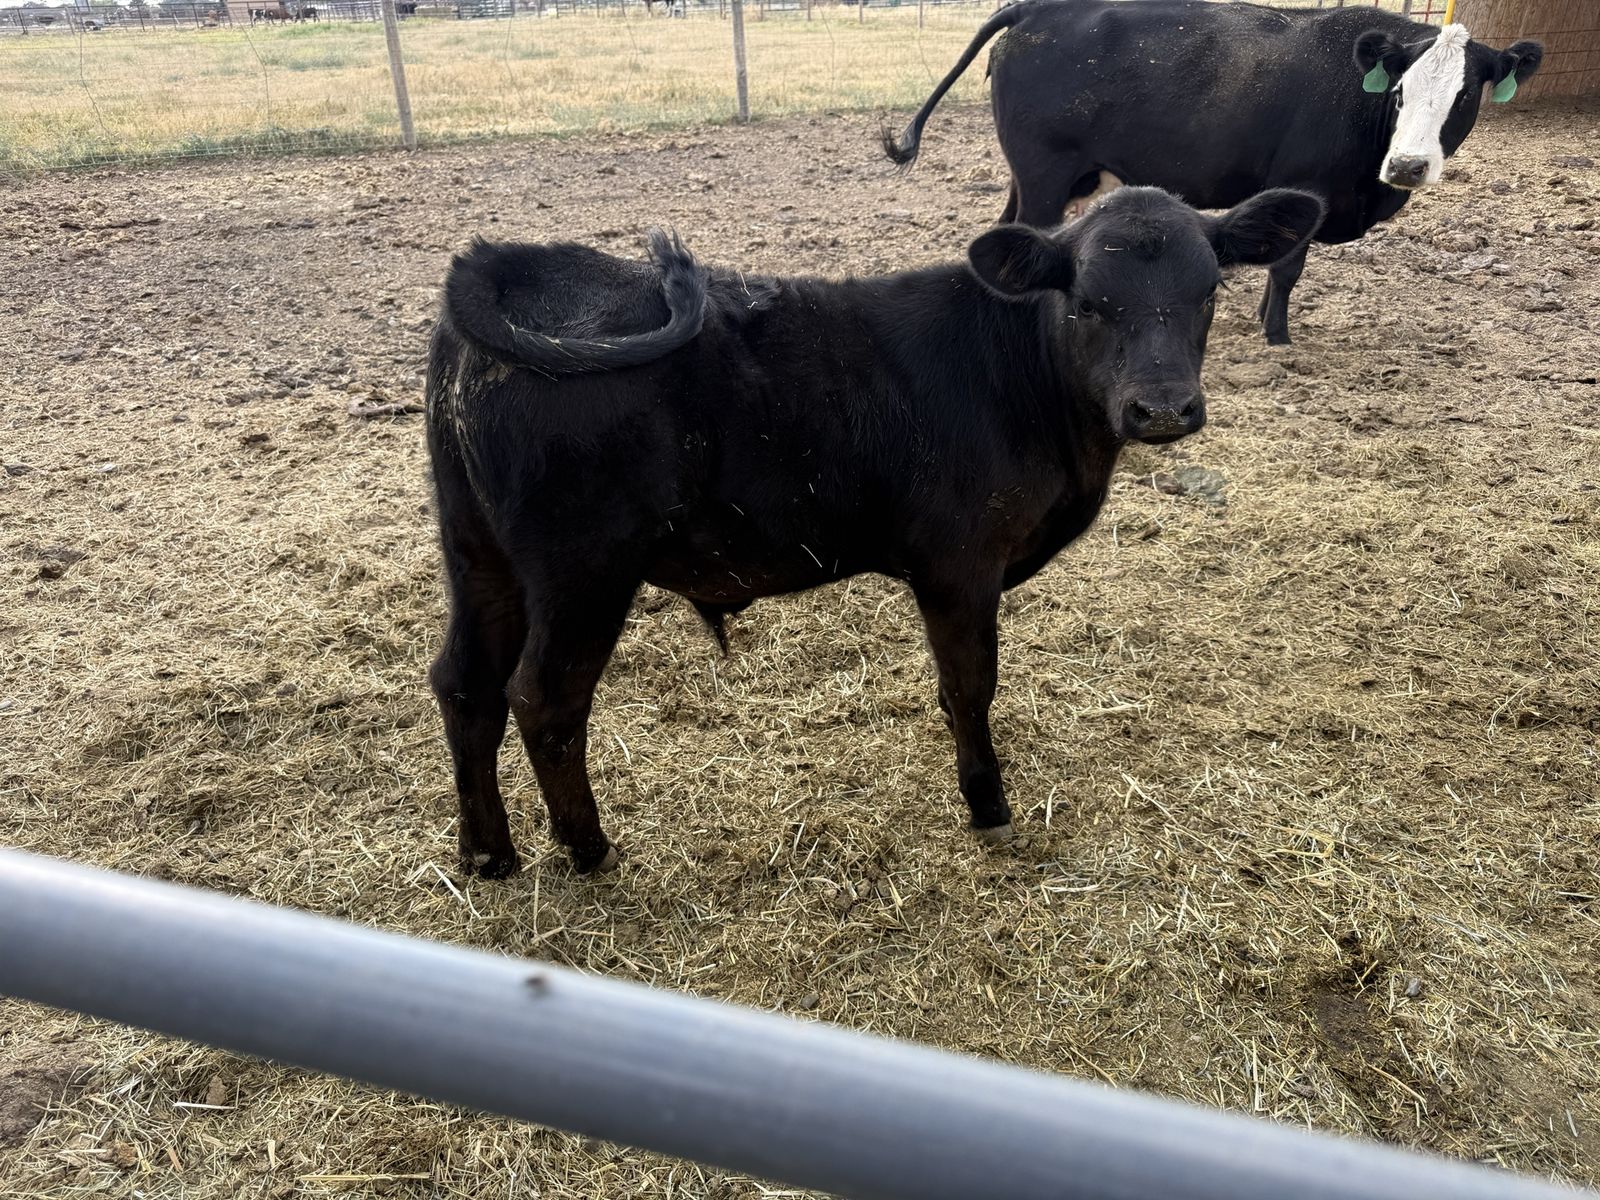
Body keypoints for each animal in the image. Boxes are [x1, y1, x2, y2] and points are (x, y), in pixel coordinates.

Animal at [423, 186, 1323, 878]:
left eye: (1208, 291)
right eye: (1087, 302)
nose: (1163, 409)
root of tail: (514, 263)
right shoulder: (960, 564)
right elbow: (971, 684)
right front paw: (987, 802)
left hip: (480, 556)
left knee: (464, 683)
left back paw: (488, 855)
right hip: (584, 571)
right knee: (545, 699)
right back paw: (589, 851)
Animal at [882, 1, 1542, 345]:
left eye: (1464, 95)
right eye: (1400, 92)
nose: (1407, 165)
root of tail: (1040, 8)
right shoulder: (1304, 185)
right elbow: (1288, 268)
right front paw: (1277, 337)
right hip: (1046, 177)